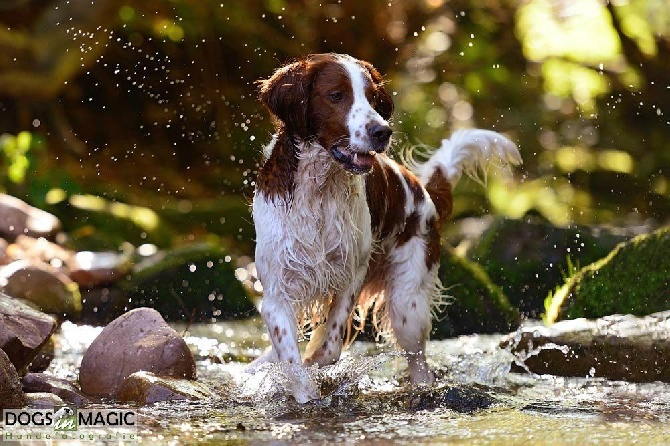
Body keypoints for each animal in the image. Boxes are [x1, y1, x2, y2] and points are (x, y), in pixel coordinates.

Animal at [252, 54, 524, 402]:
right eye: (336, 95)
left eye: (372, 98)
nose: (382, 131)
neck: (319, 191)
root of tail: (423, 192)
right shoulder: (277, 293)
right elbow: (293, 362)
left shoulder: (351, 276)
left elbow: (328, 347)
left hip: (408, 305)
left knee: (419, 363)